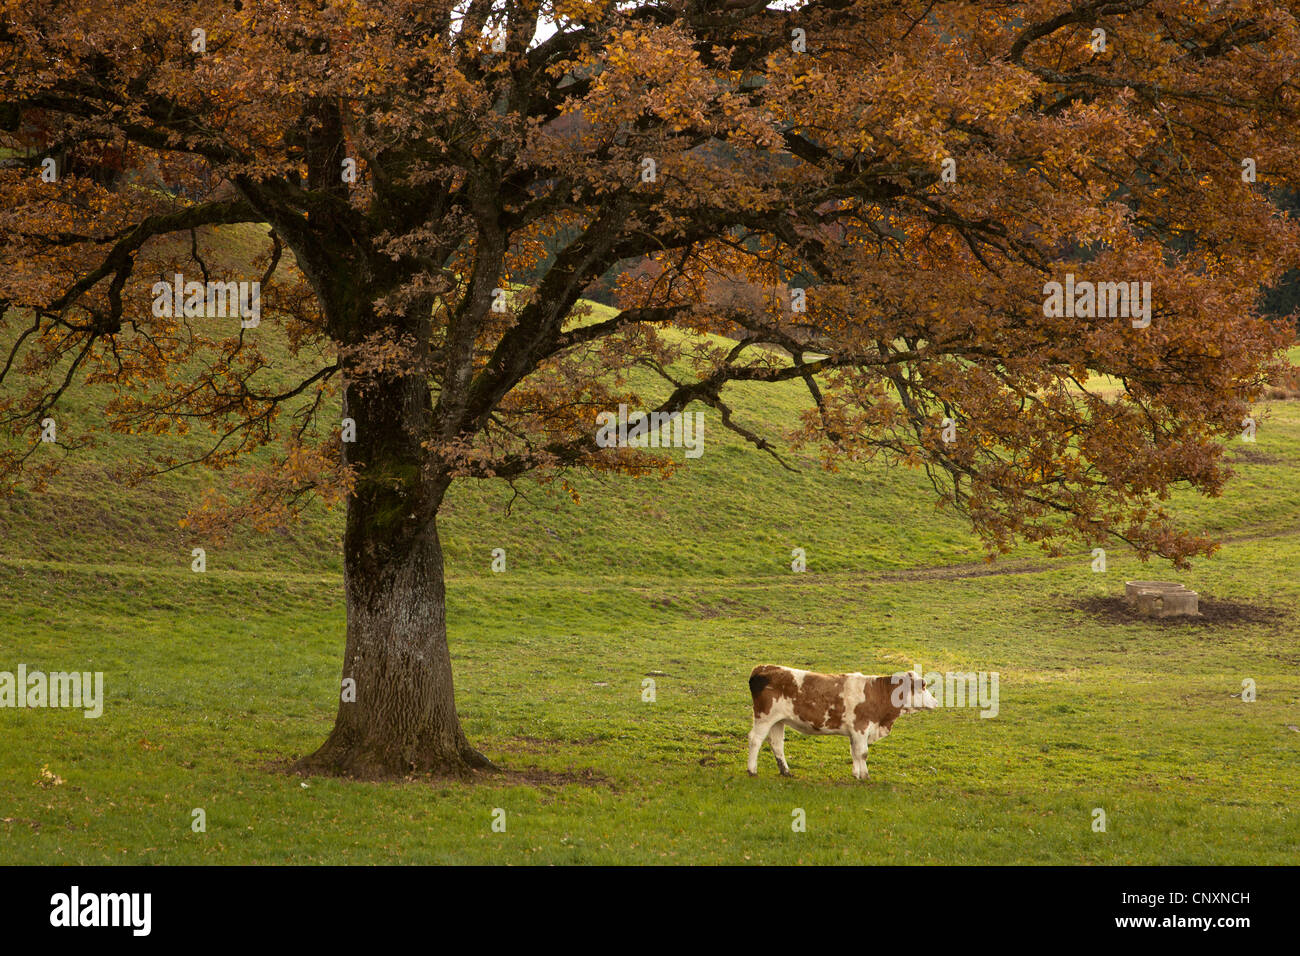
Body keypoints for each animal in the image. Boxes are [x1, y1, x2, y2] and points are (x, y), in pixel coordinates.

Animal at [748, 665, 941, 780]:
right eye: (923, 686)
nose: (936, 702)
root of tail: (764, 668)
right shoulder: (861, 727)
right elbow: (863, 753)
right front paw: (865, 776)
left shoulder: (854, 732)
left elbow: (854, 752)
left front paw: (856, 774)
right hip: (764, 717)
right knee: (755, 740)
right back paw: (752, 770)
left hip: (778, 720)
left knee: (777, 744)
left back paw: (786, 771)